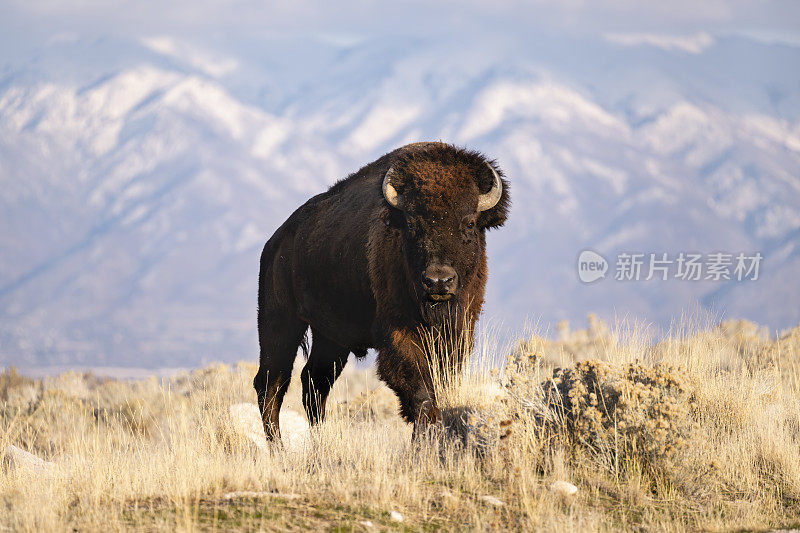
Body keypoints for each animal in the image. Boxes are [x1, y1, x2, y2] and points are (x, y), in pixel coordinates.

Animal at [253, 141, 510, 440]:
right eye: (412, 223)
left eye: (469, 222)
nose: (438, 281)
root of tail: (275, 242)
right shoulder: (399, 335)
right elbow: (422, 393)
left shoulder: (458, 332)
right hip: (279, 322)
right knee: (272, 383)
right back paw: (278, 446)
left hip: (331, 338)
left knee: (314, 381)